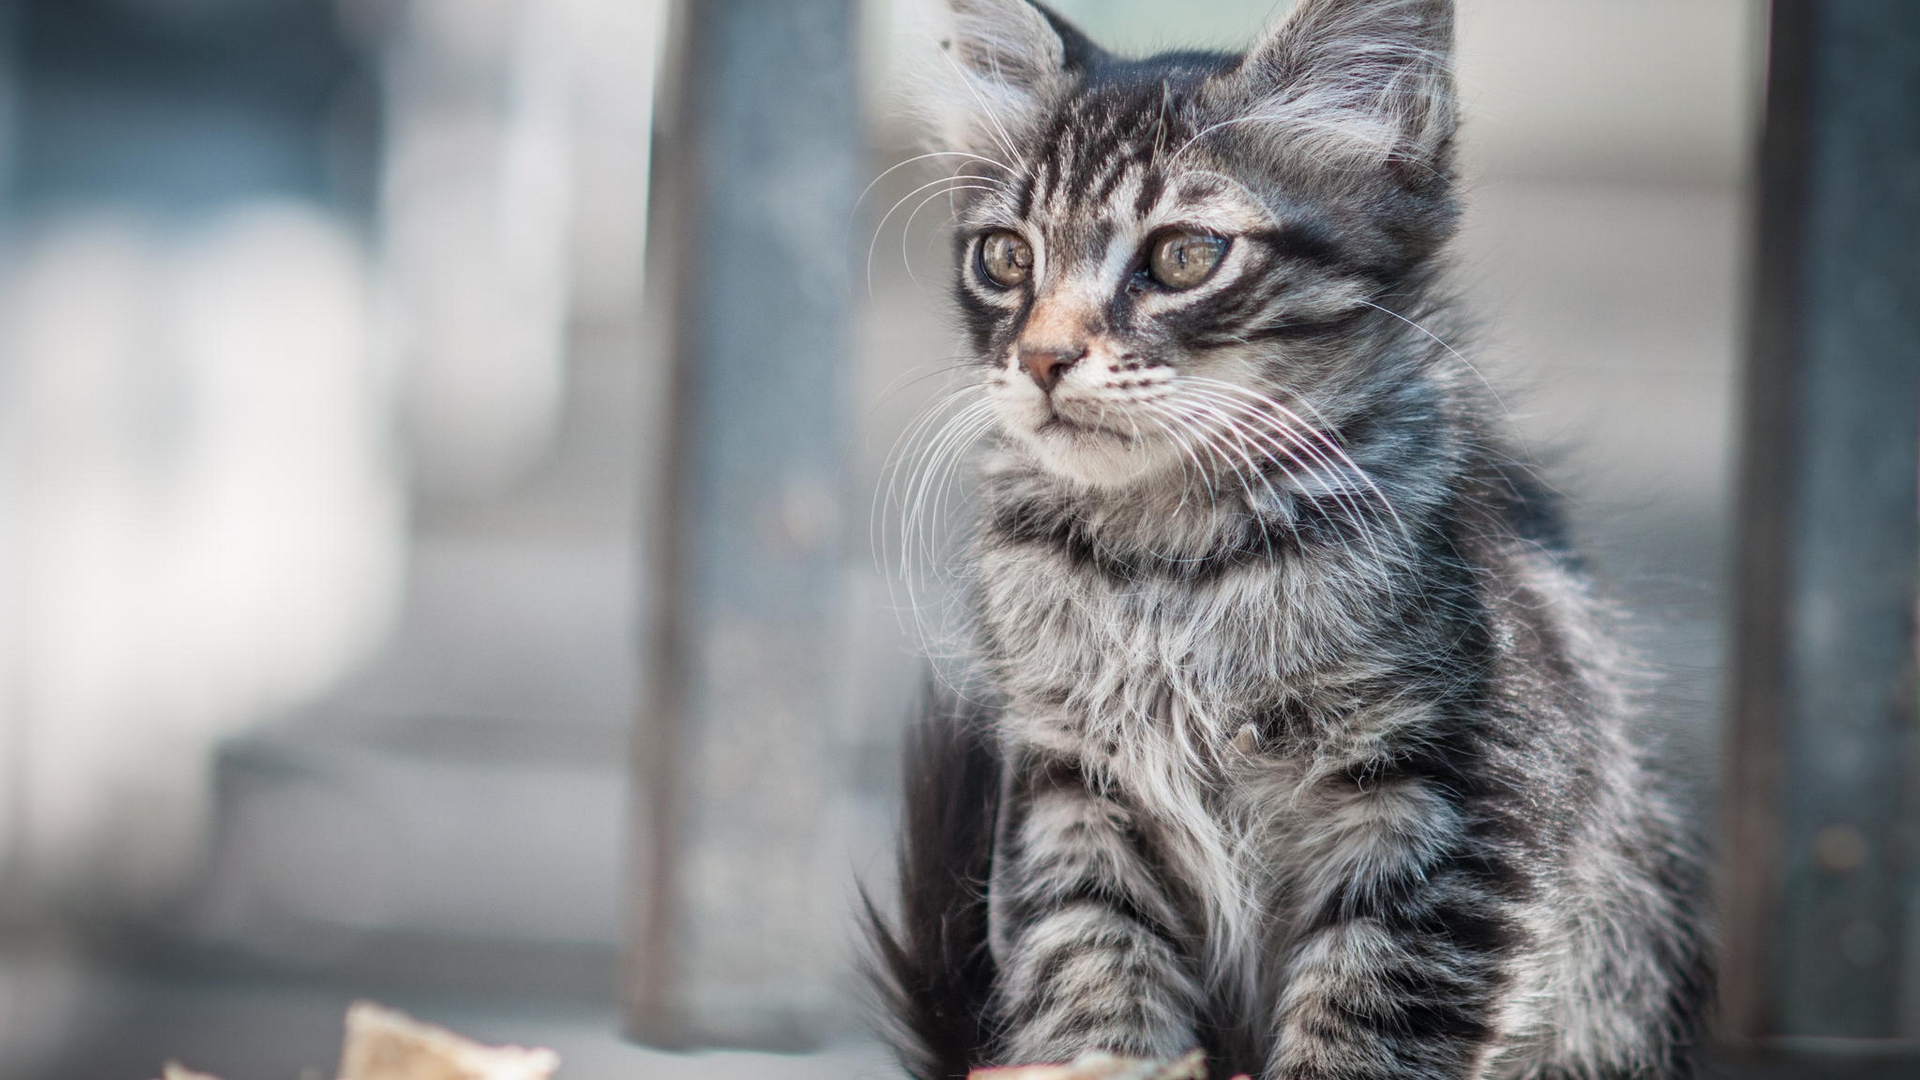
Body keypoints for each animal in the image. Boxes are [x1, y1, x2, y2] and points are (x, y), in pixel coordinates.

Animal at [867, 2, 1712, 1076]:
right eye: (1006, 258)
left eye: (1183, 256)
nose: (1043, 357)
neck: (1167, 558)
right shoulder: (1071, 801)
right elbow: (1097, 1000)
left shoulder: (1454, 814)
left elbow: (1363, 1031)